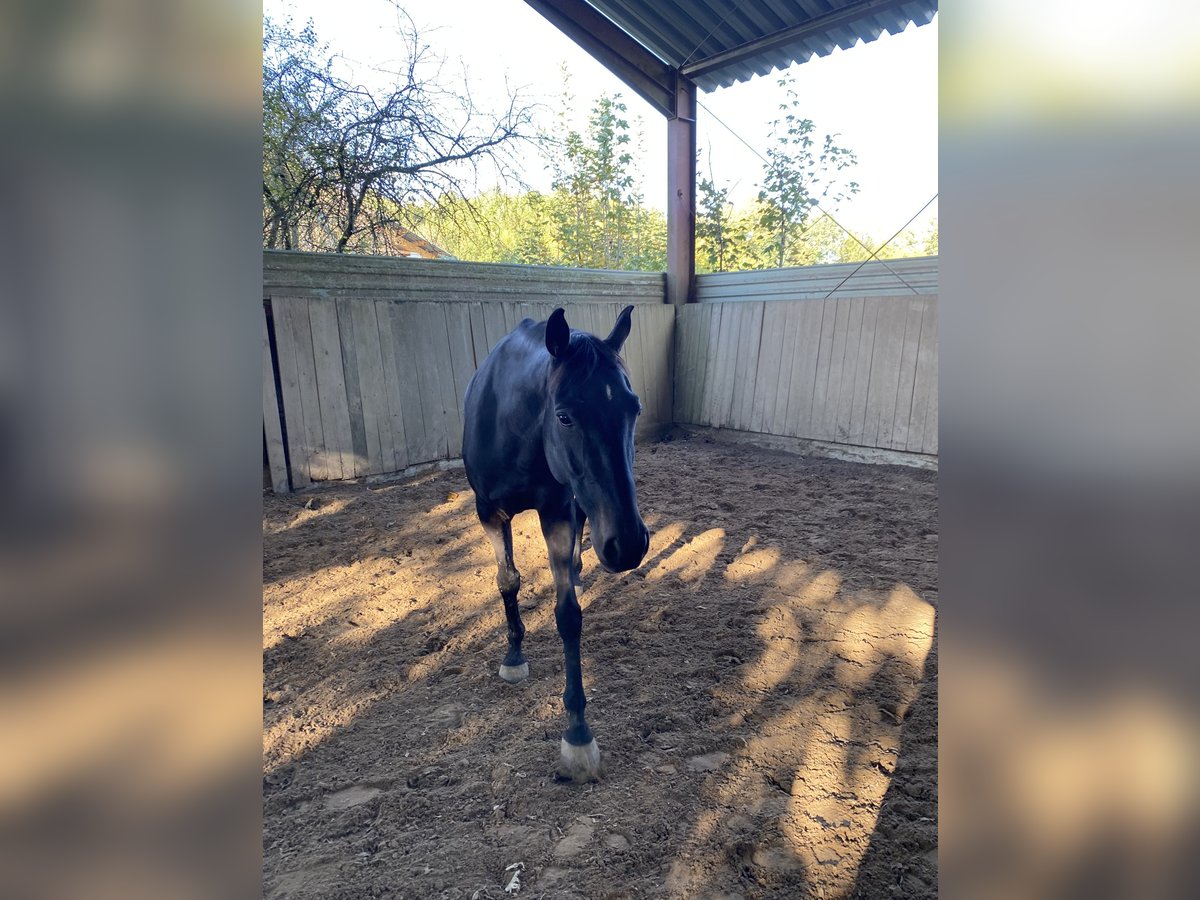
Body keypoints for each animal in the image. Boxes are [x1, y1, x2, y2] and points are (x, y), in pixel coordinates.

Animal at [460, 304, 648, 782]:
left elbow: (568, 615)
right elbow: (507, 580)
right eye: (564, 416)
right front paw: (513, 656)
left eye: (634, 409)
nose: (629, 544)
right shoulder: (488, 513)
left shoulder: (558, 509)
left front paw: (578, 733)